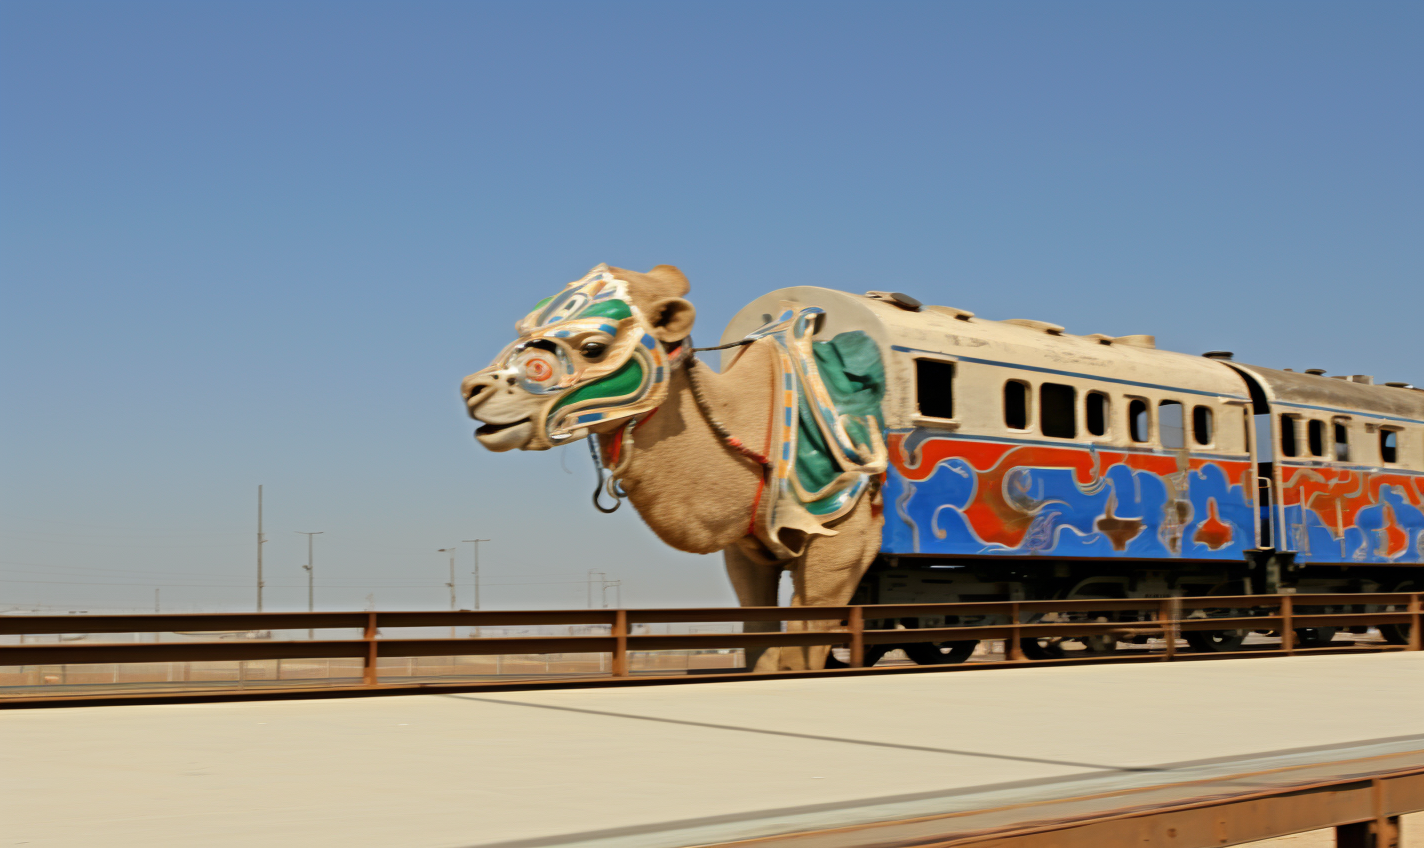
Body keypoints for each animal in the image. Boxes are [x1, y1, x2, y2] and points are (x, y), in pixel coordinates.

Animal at [461, 263, 882, 668]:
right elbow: (760, 642)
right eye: (524, 327)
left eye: (593, 347)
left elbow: (800, 654)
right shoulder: (749, 550)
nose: (472, 389)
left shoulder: (846, 544)